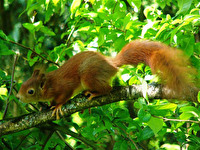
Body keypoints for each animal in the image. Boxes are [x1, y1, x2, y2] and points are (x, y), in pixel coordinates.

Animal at [16, 40, 198, 119]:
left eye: (30, 91)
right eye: (22, 85)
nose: (18, 97)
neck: (49, 85)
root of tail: (111, 64)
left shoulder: (64, 86)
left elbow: (64, 96)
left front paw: (57, 106)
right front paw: (44, 106)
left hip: (88, 76)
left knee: (107, 89)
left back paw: (94, 94)